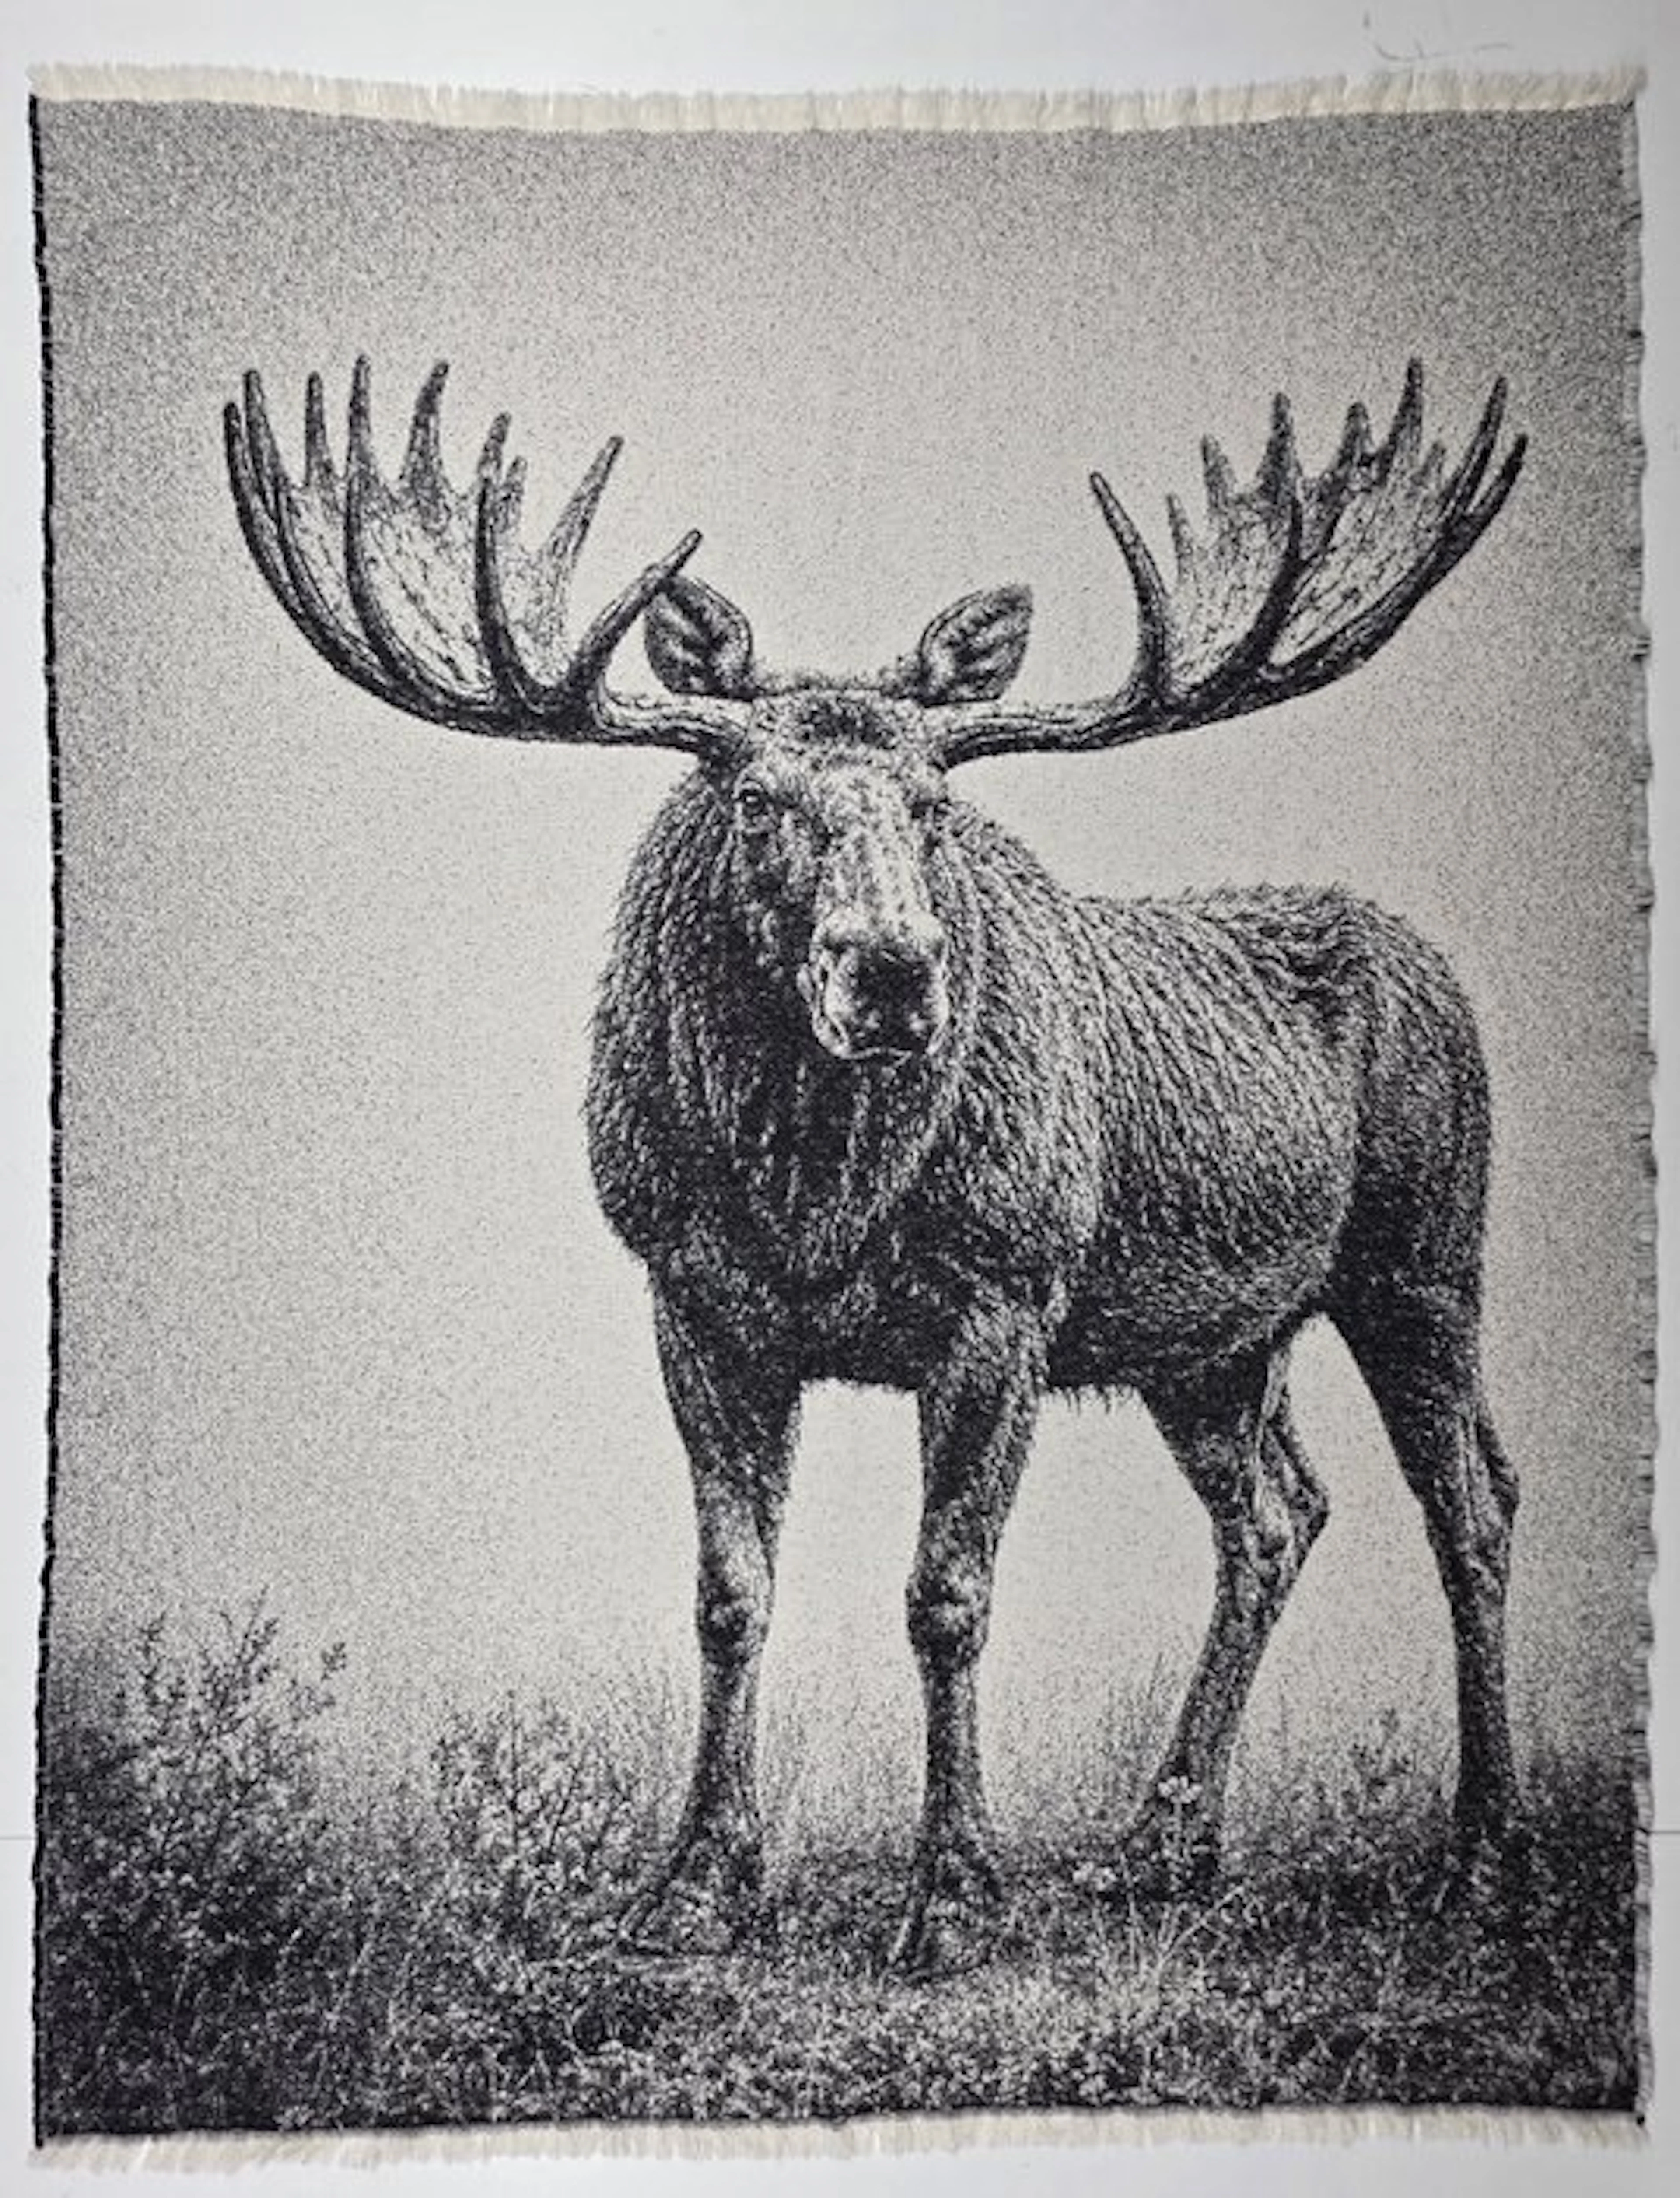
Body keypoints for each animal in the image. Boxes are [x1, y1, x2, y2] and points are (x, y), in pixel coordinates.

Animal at [225, 355, 1526, 1975]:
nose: (897, 971)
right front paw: (693, 1885)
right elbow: (729, 1594)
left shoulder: (1006, 1294)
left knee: (1471, 1503)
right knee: (1279, 1513)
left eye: (935, 807)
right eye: (758, 800)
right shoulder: (695, 1297)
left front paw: (954, 1894)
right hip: (1211, 1341)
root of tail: (1440, 967)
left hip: (1426, 1255)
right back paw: (1158, 1850)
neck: (816, 1204)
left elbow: (946, 1595)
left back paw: (1482, 1858)